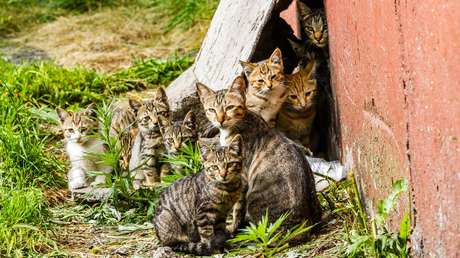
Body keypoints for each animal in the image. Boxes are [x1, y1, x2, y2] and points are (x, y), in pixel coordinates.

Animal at [196, 76, 322, 238]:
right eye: (211, 110)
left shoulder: (241, 177)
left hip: (255, 201)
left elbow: (237, 208)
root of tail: (306, 225)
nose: (220, 119)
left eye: (229, 107)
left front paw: (233, 227)